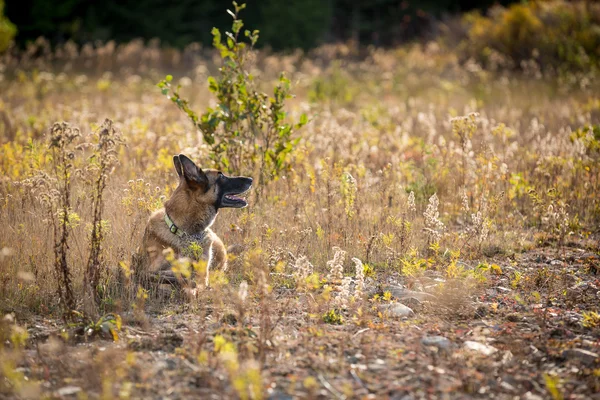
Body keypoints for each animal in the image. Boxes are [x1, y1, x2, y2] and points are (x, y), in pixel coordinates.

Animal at [134, 153, 251, 288]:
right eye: (221, 176)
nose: (251, 179)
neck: (186, 233)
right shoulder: (148, 269)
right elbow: (151, 274)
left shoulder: (203, 274)